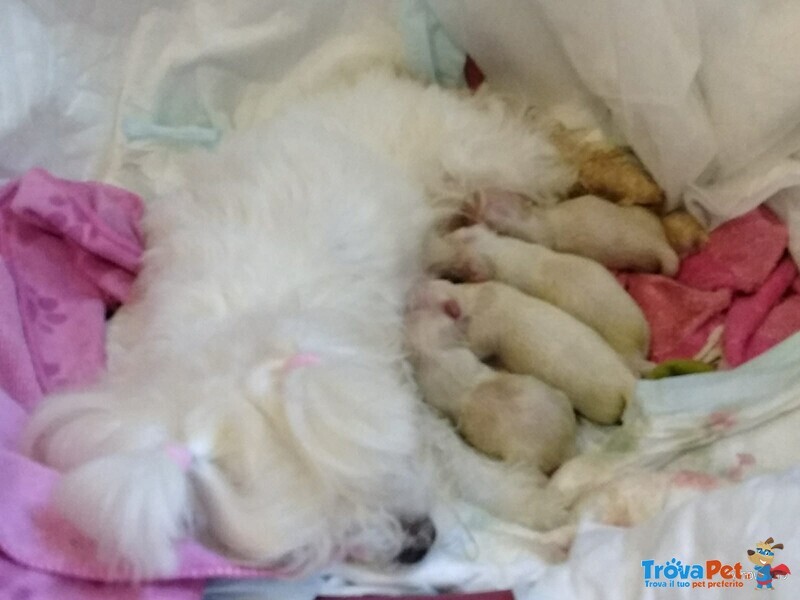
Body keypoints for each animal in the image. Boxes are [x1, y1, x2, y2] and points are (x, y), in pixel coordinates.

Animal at [410, 280, 636, 424]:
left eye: (418, 302)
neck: (469, 297)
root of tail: (626, 380)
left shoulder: (480, 333)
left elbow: (477, 348)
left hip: (601, 406)